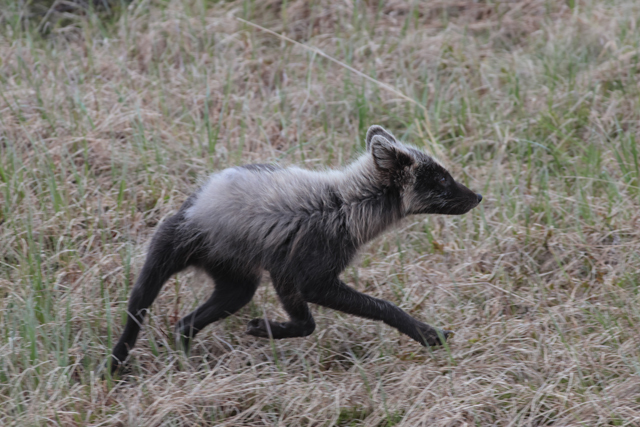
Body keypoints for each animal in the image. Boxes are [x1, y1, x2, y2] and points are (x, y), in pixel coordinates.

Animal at [110, 125, 482, 372]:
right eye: (442, 179)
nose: (478, 196)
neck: (347, 205)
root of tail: (194, 202)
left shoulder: (284, 275)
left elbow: (308, 324)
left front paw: (266, 330)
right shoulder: (308, 278)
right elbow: (376, 308)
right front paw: (427, 334)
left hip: (237, 288)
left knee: (184, 325)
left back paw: (186, 365)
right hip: (159, 266)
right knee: (135, 319)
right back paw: (112, 368)